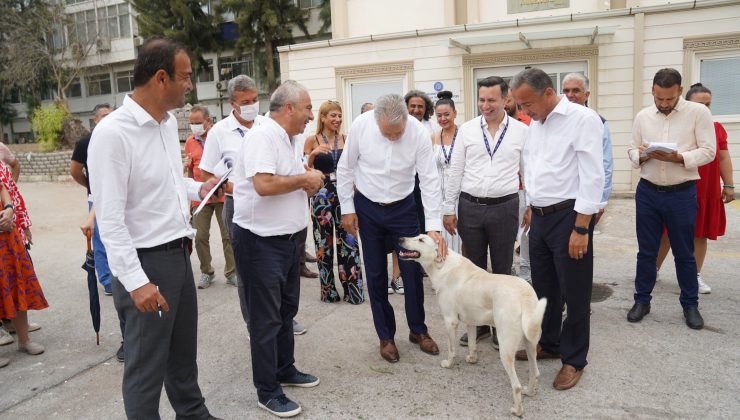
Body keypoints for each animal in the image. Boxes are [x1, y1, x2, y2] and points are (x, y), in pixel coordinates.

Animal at [402, 233, 548, 416]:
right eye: (417, 236)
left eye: (421, 240)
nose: (400, 239)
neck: (442, 266)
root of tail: (524, 294)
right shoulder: (471, 321)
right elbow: (472, 343)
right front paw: (472, 359)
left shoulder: (450, 321)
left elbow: (451, 350)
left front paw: (449, 364)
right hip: (530, 343)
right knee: (535, 372)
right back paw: (529, 391)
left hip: (506, 349)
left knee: (516, 386)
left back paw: (517, 410)